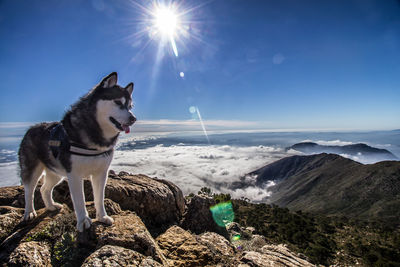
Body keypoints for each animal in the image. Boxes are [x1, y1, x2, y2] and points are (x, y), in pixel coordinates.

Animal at [18, 73, 136, 232]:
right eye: (118, 102)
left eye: (130, 106)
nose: (133, 118)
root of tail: (30, 129)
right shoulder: (74, 174)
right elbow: (79, 200)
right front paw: (83, 221)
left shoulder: (101, 173)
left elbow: (99, 197)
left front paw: (102, 217)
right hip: (32, 169)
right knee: (29, 190)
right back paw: (29, 212)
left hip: (56, 172)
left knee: (44, 189)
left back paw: (51, 206)